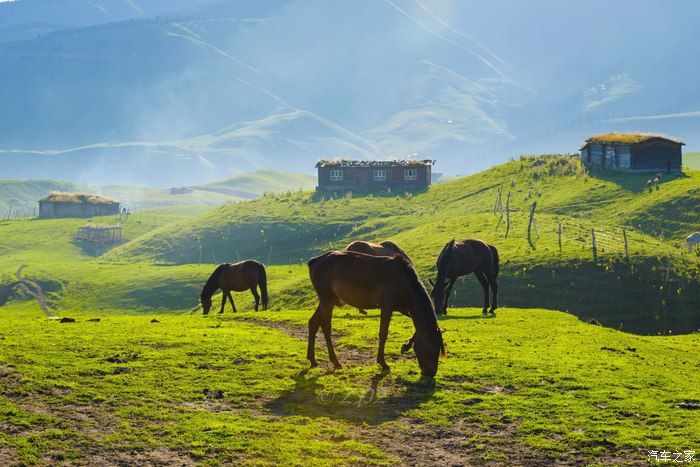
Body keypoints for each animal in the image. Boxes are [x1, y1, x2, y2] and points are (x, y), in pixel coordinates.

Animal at [306, 250, 442, 378]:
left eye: (439, 347)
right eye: (431, 346)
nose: (431, 373)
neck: (402, 281)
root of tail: (315, 261)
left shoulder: (404, 309)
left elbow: (416, 331)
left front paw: (406, 346)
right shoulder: (387, 306)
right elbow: (383, 333)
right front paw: (383, 363)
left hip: (327, 300)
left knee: (313, 323)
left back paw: (312, 360)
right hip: (327, 300)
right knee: (325, 327)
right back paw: (335, 361)